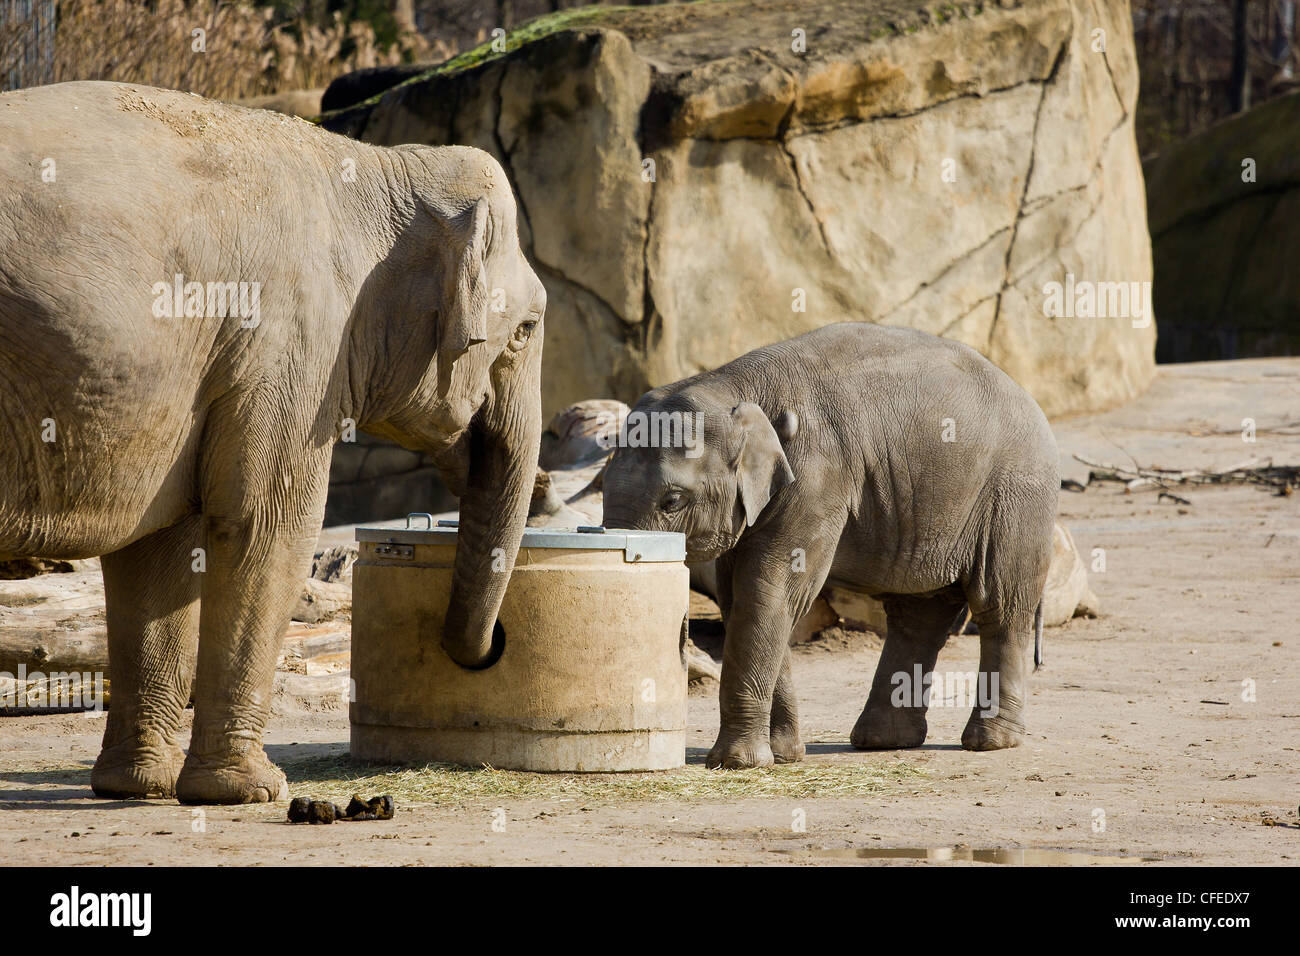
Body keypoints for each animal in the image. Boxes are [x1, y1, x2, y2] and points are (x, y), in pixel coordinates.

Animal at [0, 82, 545, 803]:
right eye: (526, 330)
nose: (480, 654)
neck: (378, 166)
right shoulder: (287, 343)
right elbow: (268, 526)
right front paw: (253, 790)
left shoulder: (197, 376)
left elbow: (159, 545)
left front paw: (140, 786)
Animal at [602, 322, 1058, 769]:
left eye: (672, 501)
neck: (732, 387)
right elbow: (744, 597)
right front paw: (784, 755)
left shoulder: (818, 477)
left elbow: (771, 587)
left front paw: (738, 762)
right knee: (918, 615)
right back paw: (882, 741)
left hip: (1015, 499)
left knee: (999, 606)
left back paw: (990, 742)